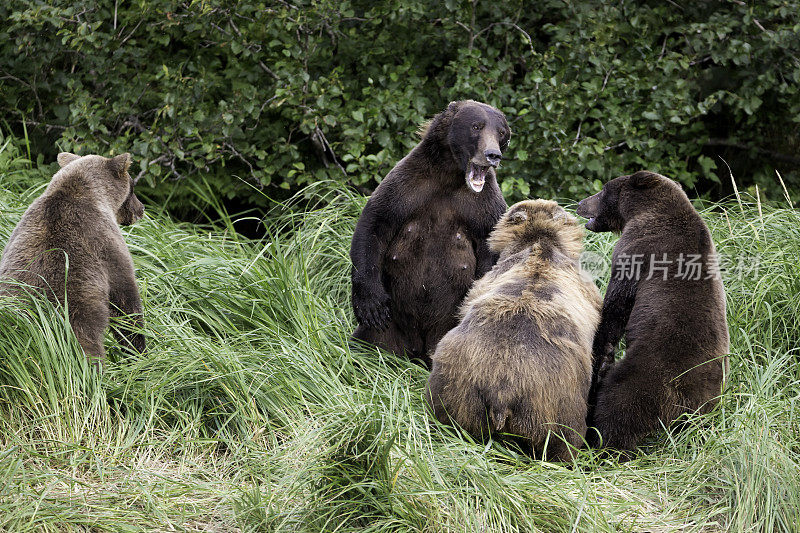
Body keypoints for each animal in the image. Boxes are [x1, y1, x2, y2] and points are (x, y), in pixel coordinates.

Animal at [0, 152, 147, 364]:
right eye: (133, 187)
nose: (141, 209)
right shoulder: (105, 245)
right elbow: (125, 301)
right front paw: (138, 351)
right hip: (77, 319)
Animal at [352, 100, 512, 366]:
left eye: (501, 132)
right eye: (476, 126)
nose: (493, 155)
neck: (450, 175)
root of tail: (417, 349)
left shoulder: (483, 206)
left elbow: (493, 253)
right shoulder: (408, 186)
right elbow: (374, 225)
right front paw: (370, 305)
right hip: (391, 328)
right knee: (366, 342)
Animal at [580, 169, 728, 448]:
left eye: (603, 190)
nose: (581, 203)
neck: (637, 212)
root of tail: (679, 399)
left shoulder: (637, 250)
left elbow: (616, 309)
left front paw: (602, 351)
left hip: (648, 374)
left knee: (618, 406)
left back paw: (604, 444)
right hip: (708, 396)